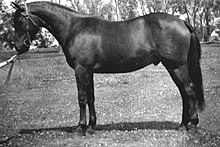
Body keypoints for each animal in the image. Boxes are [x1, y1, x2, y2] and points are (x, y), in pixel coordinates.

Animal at [12, 1, 205, 135]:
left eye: (20, 20)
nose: (18, 46)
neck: (73, 28)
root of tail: (181, 21)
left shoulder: (81, 70)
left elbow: (81, 98)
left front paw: (80, 128)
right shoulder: (88, 71)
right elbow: (91, 98)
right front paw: (91, 126)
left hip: (176, 67)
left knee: (189, 91)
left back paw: (192, 124)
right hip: (174, 67)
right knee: (184, 93)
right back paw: (183, 125)